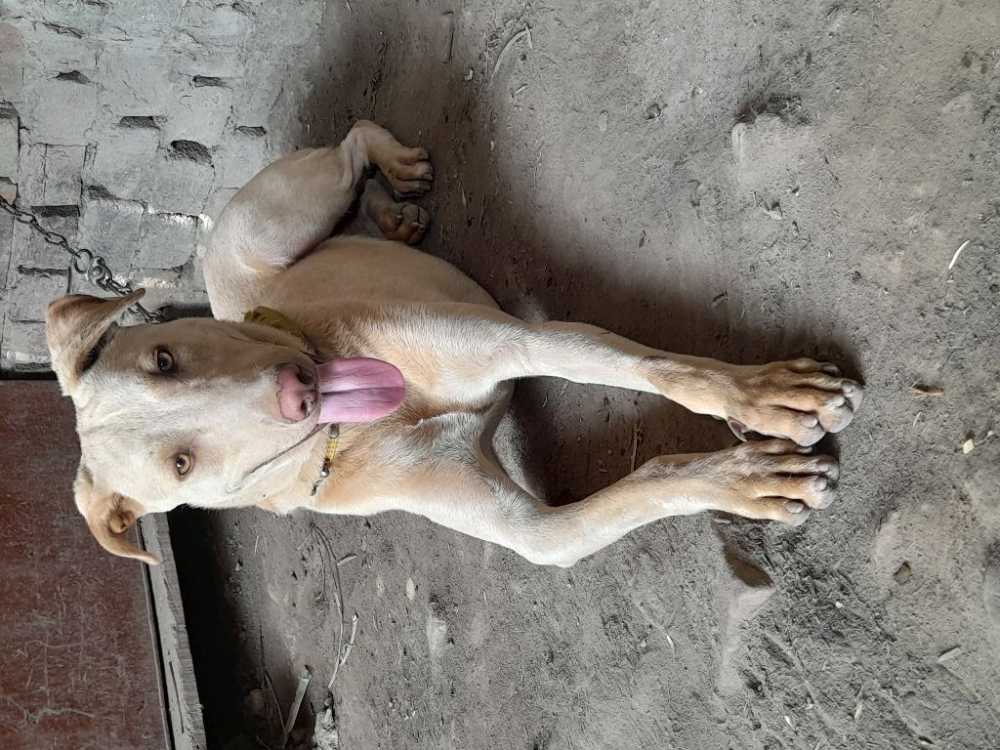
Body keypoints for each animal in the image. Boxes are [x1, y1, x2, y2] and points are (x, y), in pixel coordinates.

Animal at [45, 121, 864, 568]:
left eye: (164, 360)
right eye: (180, 466)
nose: (296, 391)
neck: (364, 428)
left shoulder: (520, 337)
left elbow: (658, 366)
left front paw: (766, 397)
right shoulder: (540, 532)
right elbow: (650, 481)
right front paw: (749, 480)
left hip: (285, 216)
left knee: (350, 143)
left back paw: (394, 172)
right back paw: (393, 214)